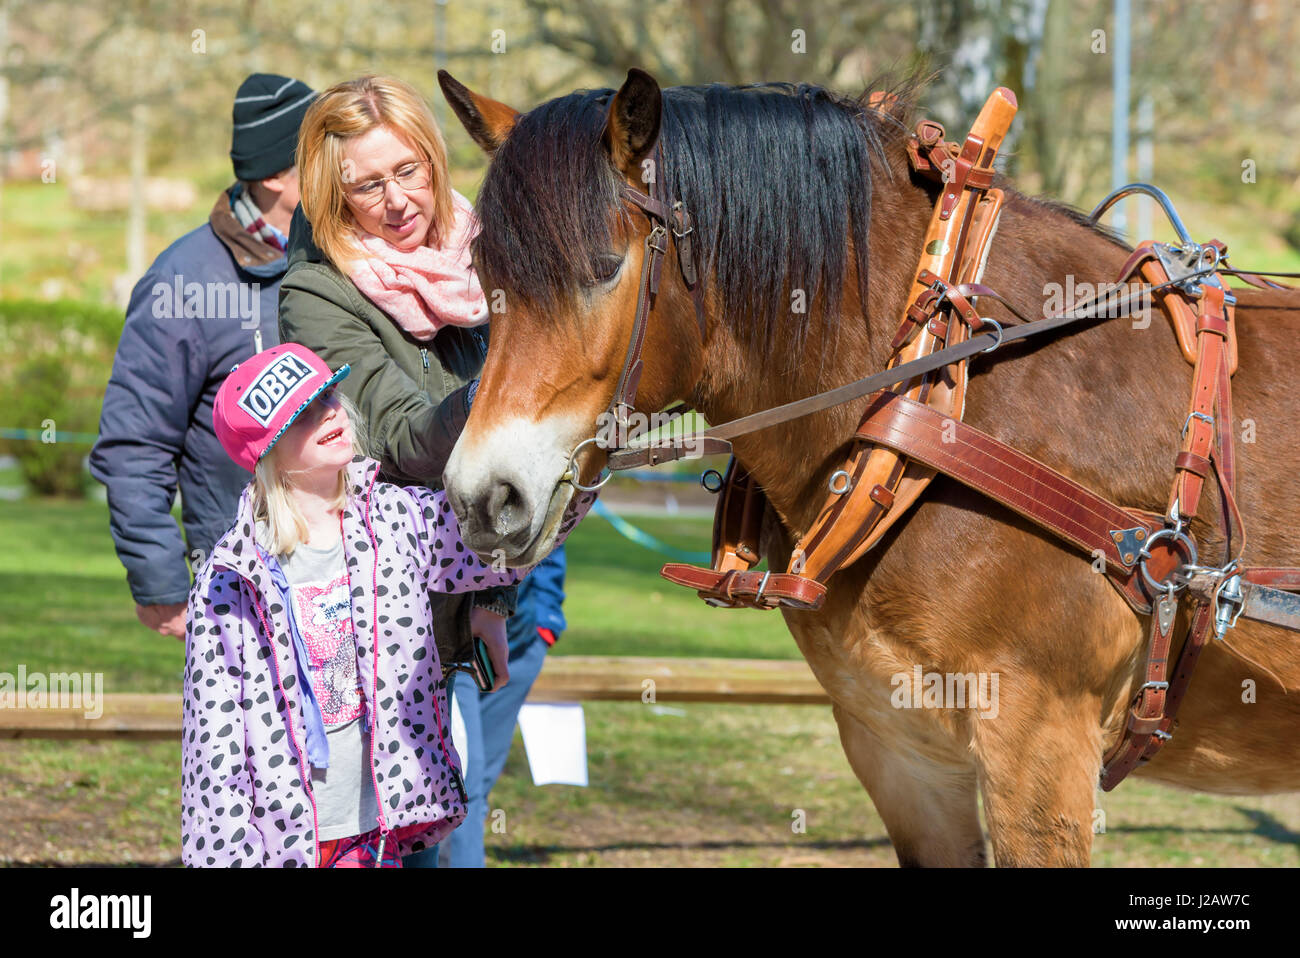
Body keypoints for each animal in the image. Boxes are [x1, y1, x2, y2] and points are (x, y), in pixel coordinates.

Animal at [438, 68, 1300, 866]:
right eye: (485, 275)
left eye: (603, 267)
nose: (484, 496)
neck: (942, 383)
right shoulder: (900, 748)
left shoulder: (1041, 740)